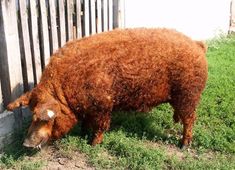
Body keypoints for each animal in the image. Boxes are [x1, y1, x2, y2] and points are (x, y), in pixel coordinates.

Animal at [6, 28, 207, 149]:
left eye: (41, 118)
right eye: (31, 112)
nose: (25, 144)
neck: (66, 91)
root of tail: (197, 45)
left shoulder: (102, 104)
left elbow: (101, 126)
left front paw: (92, 143)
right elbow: (87, 122)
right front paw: (83, 133)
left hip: (189, 94)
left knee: (191, 120)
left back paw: (183, 145)